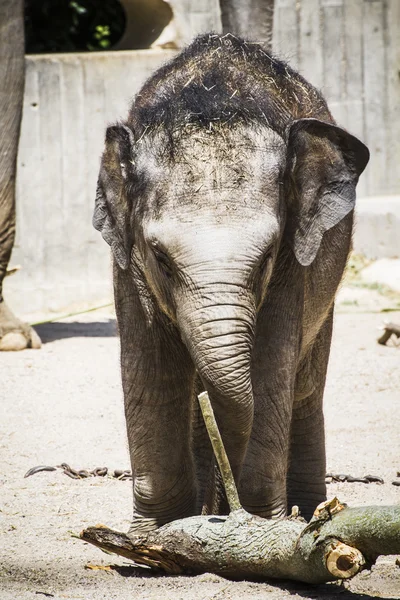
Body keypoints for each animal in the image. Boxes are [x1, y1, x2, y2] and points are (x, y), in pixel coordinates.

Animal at [94, 32, 368, 532]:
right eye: (161, 260)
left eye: (264, 261)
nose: (231, 508)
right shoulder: (128, 265)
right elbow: (151, 369)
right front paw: (154, 534)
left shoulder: (292, 263)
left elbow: (268, 369)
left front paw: (262, 526)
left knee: (303, 388)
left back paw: (305, 511)